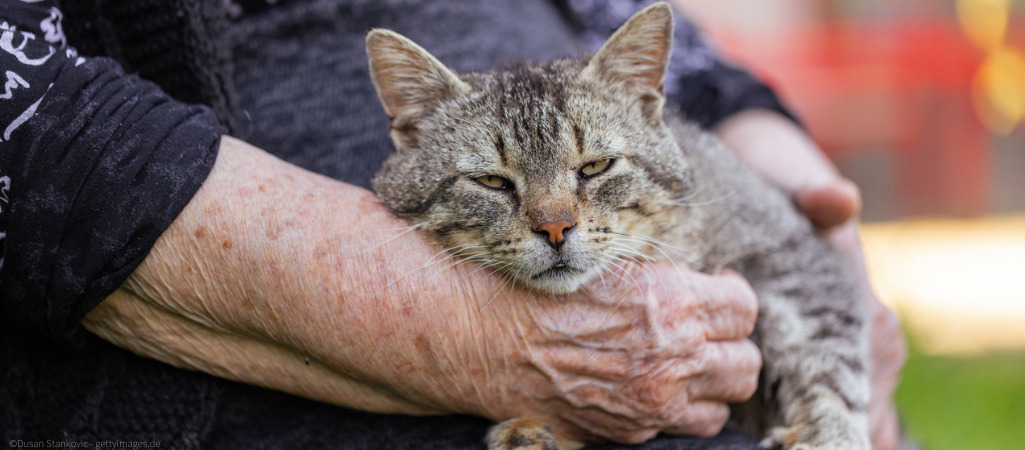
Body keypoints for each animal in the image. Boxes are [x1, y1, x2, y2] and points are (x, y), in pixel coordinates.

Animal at [364, 3, 869, 450]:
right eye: (492, 181)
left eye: (595, 167)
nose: (555, 229)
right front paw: (532, 431)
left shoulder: (792, 255)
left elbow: (829, 358)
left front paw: (825, 435)